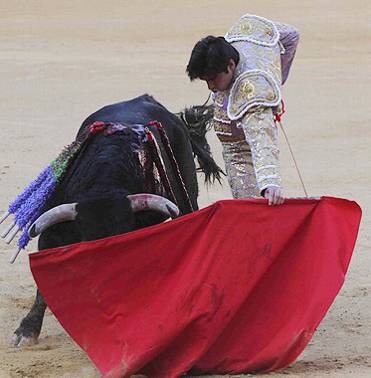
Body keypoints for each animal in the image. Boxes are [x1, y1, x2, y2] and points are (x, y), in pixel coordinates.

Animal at [11, 94, 222, 346]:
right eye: (87, 239)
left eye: (121, 236)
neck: (105, 185)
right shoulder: (54, 232)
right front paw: (26, 331)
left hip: (187, 192)